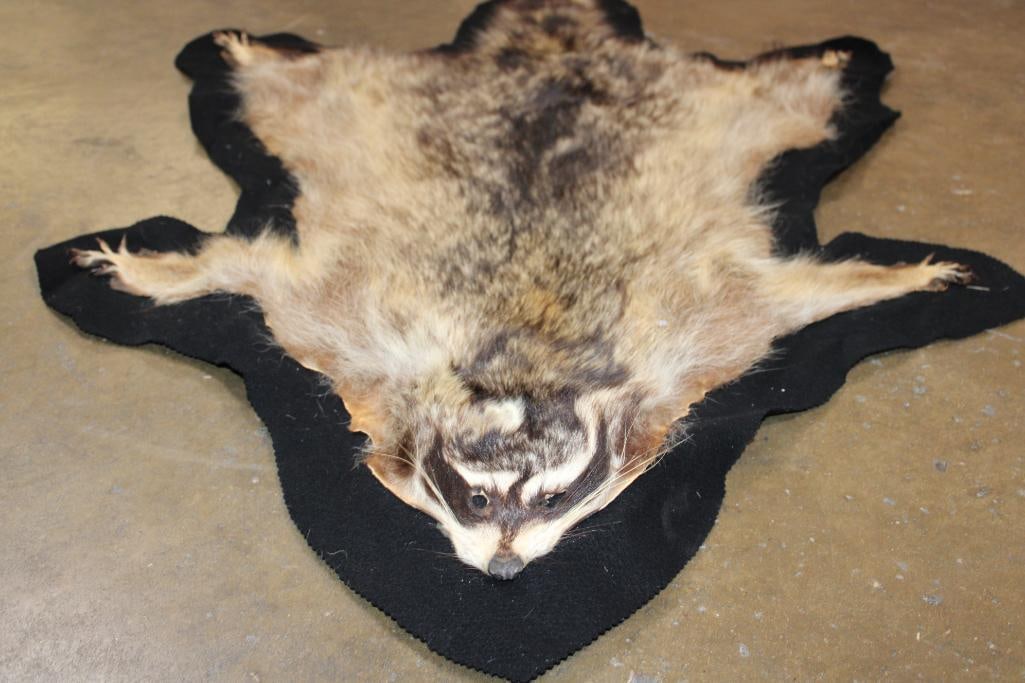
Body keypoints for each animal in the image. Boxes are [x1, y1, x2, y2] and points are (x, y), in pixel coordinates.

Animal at [71, 0, 970, 579]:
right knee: (303, 90)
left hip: (721, 111)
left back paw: (819, 64)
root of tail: (548, 41)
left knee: (783, 99)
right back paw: (256, 58)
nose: (503, 573)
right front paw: (169, 269)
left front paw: (891, 275)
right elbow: (254, 271)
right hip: (355, 104)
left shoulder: (707, 330)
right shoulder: (343, 324)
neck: (530, 364)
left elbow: (794, 295)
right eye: (473, 497)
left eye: (556, 496)